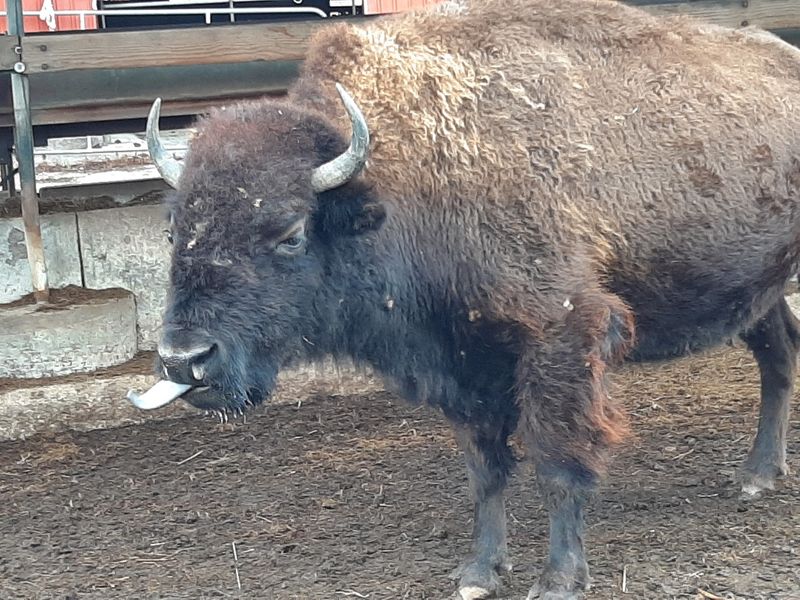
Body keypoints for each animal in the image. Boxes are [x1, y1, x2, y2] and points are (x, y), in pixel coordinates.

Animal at [139, 0, 800, 597]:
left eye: (290, 232)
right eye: (174, 229)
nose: (183, 359)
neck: (405, 178)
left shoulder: (560, 340)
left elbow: (558, 462)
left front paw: (558, 580)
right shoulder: (463, 365)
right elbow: (485, 472)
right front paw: (479, 574)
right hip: (757, 291)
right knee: (779, 354)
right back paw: (757, 475)